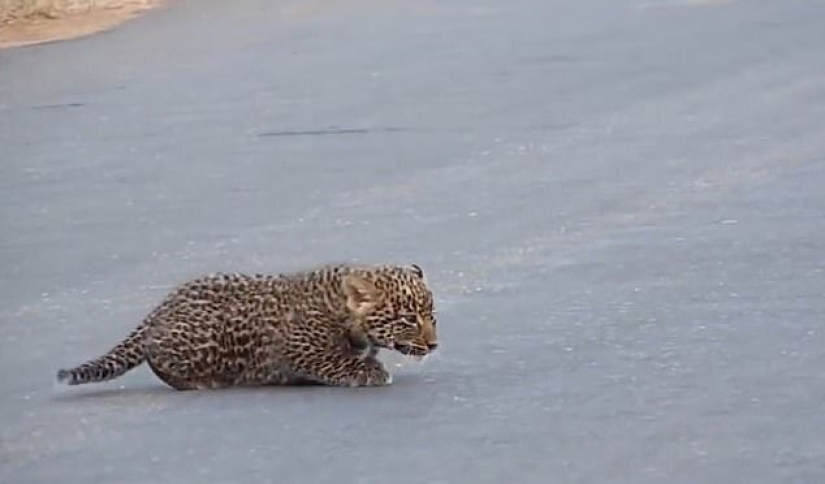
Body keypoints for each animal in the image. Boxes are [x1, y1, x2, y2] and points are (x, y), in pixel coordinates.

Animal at [56, 262, 438, 390]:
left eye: (432, 316)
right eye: (409, 320)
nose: (434, 345)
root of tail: (161, 307)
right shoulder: (296, 346)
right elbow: (332, 359)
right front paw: (368, 371)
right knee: (156, 356)